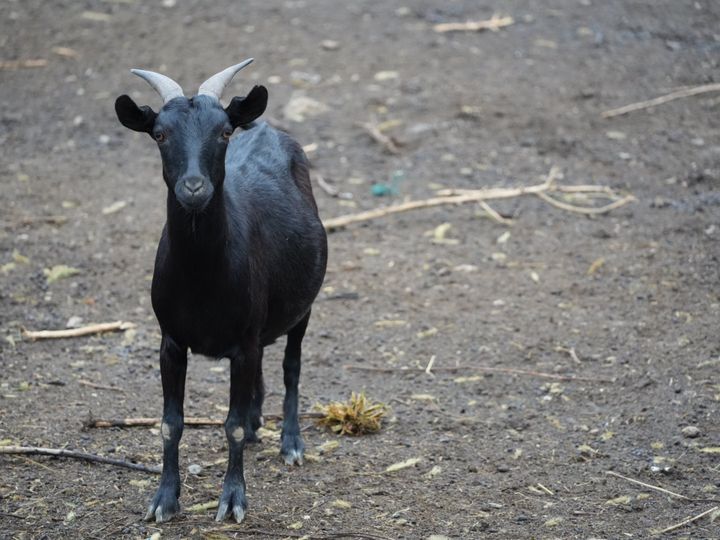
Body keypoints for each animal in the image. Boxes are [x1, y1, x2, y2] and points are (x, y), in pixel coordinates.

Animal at [114, 59, 328, 523]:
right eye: (160, 134)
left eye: (224, 132)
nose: (194, 188)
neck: (202, 281)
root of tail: (265, 127)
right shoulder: (171, 341)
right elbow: (171, 423)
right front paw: (164, 499)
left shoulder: (243, 343)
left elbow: (230, 424)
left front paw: (232, 500)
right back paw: (258, 423)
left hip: (302, 309)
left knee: (291, 366)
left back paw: (291, 441)